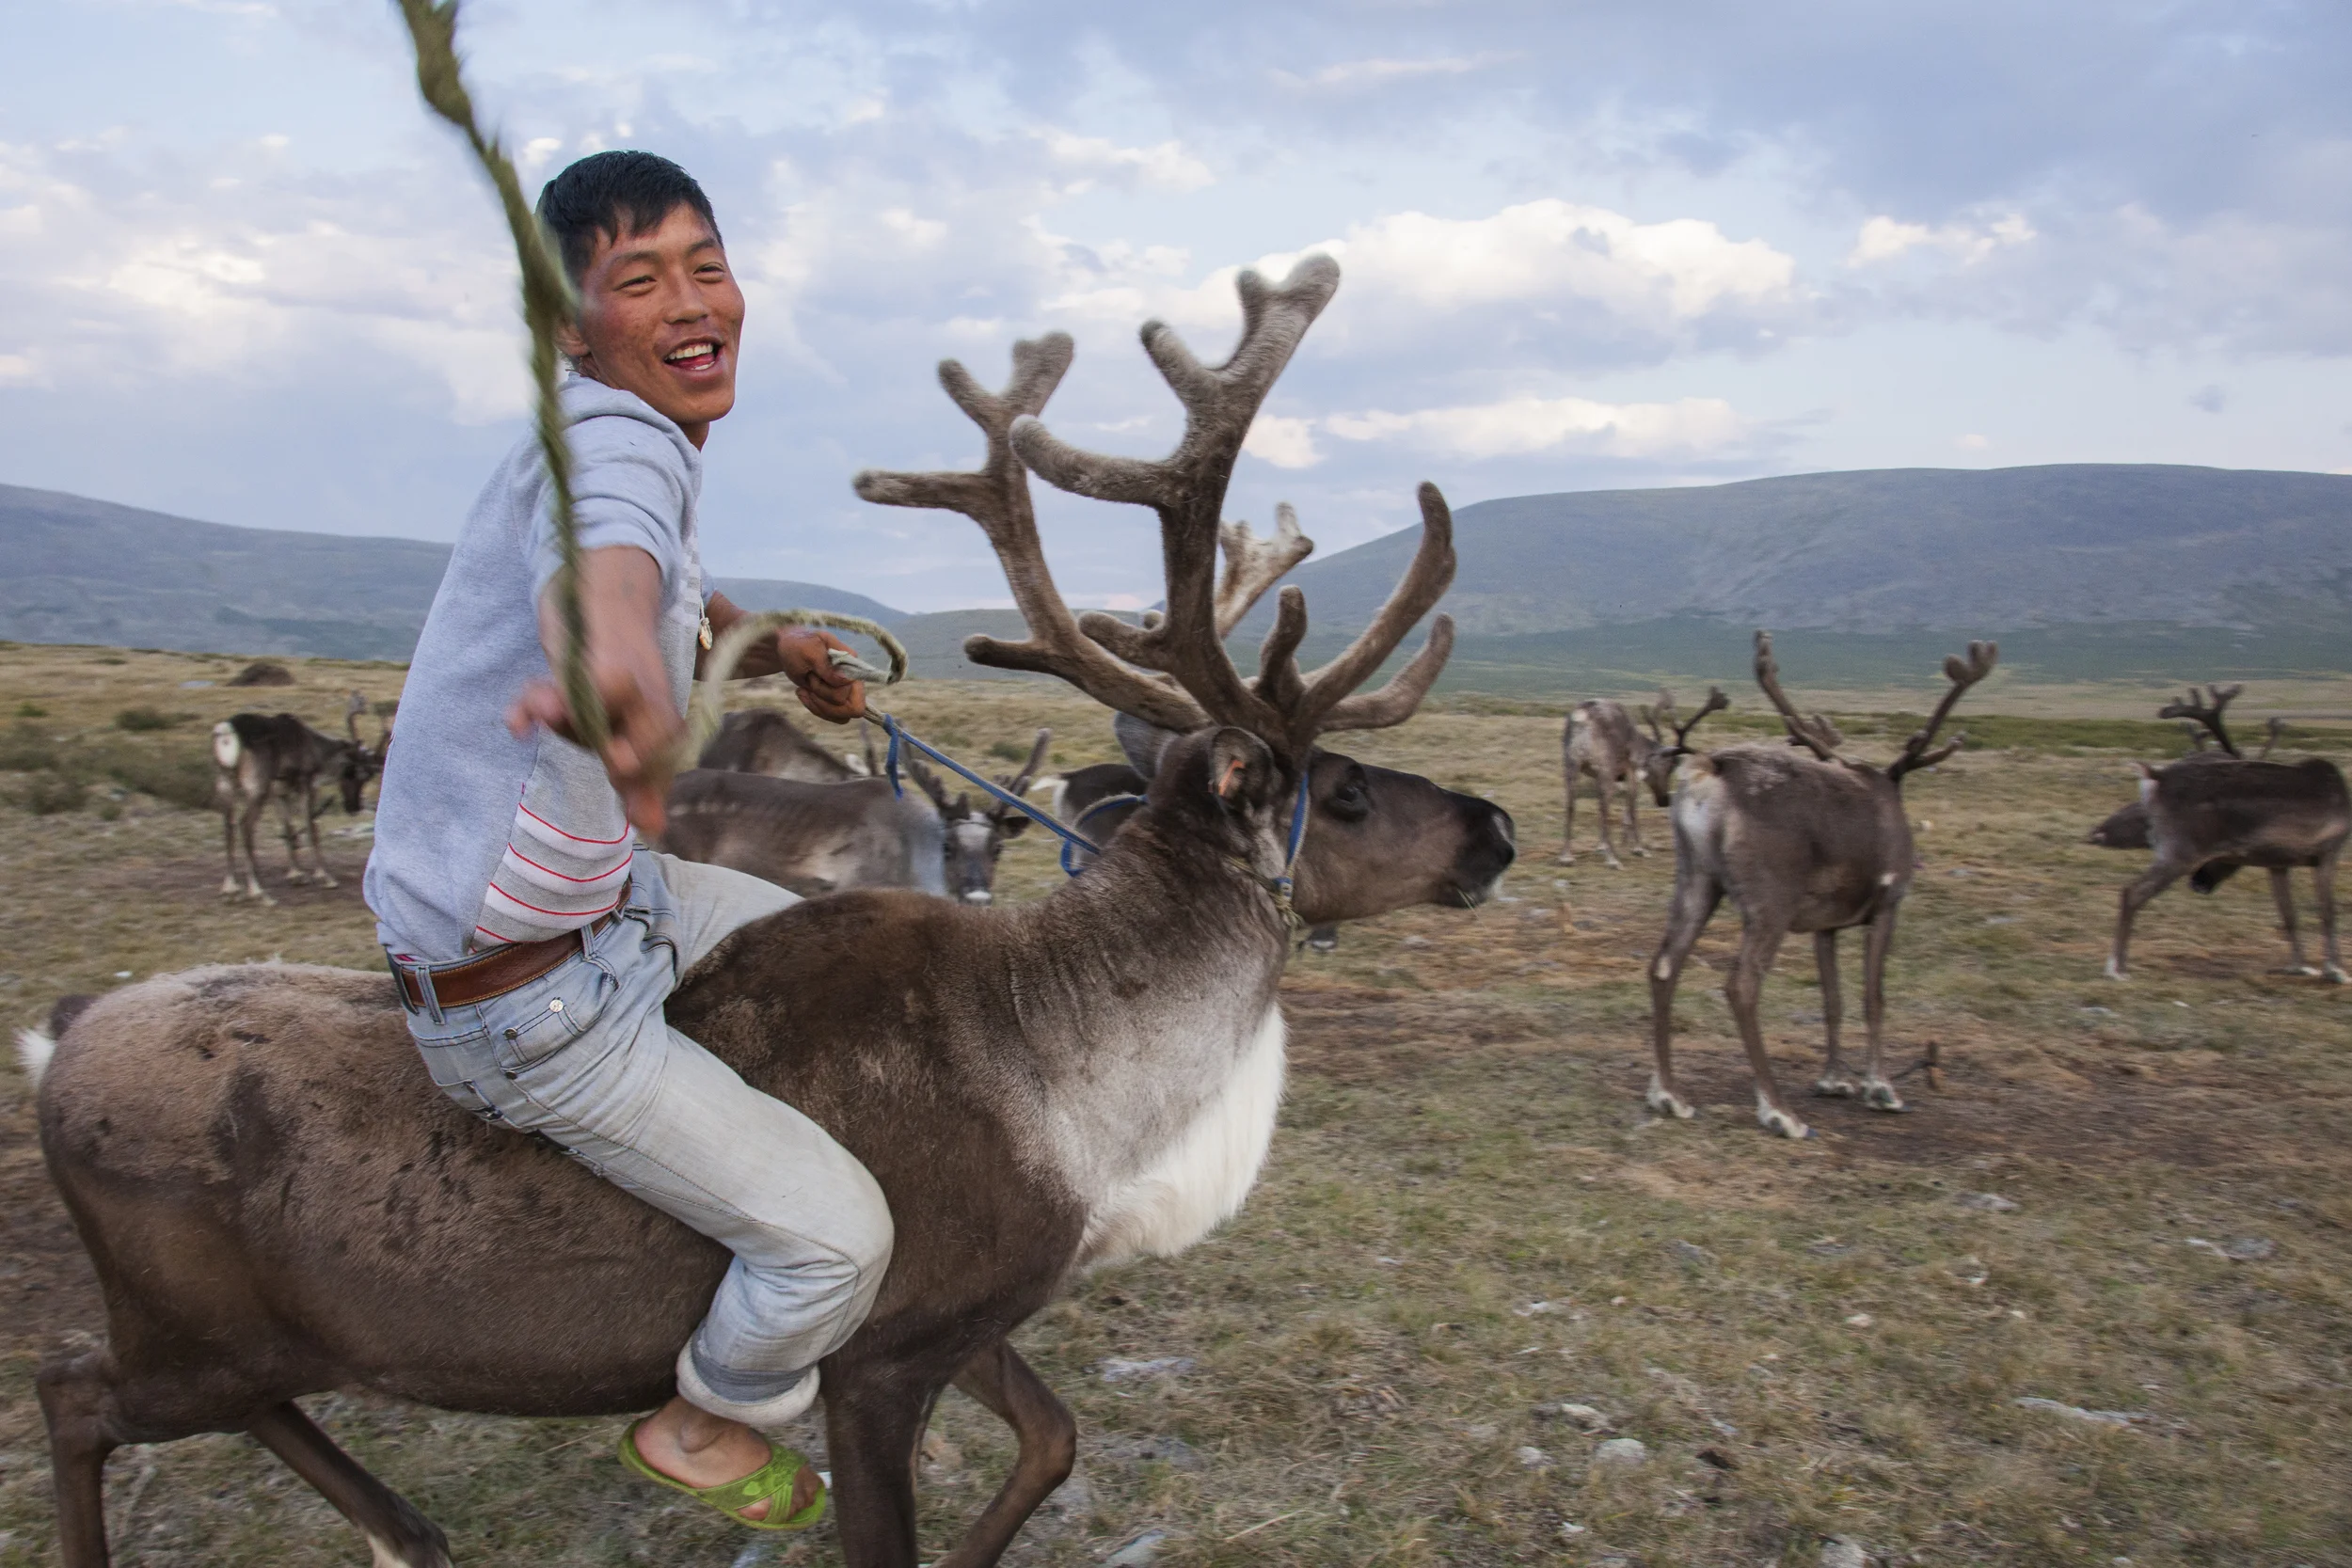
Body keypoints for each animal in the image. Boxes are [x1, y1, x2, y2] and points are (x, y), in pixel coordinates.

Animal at [210, 691, 385, 902]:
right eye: (359, 775)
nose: (354, 807)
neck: (314, 749)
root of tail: (228, 732)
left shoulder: (279, 791)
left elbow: (288, 828)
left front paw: (296, 874)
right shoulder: (305, 784)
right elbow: (311, 827)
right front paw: (325, 877)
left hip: (224, 783)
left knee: (228, 826)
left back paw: (230, 887)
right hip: (256, 788)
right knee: (245, 826)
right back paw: (258, 891)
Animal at [1556, 690, 1726, 868]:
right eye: (1668, 768)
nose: (1664, 800)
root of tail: (1582, 717)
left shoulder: (1607, 776)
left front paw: (1602, 846)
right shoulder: (1630, 771)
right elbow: (1632, 808)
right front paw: (1639, 848)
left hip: (1571, 764)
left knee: (1570, 805)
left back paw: (1566, 856)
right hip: (1605, 768)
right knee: (1603, 807)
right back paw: (1612, 859)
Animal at [1645, 632, 1996, 1138]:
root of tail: (1709, 771)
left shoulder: (1823, 926)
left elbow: (1833, 999)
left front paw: (1834, 1080)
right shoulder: (1887, 905)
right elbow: (1873, 997)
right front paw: (1881, 1088)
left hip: (1697, 878)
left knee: (1663, 967)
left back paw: (1669, 1095)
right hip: (1771, 901)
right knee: (1741, 985)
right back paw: (1780, 1112)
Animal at [2095, 684, 2348, 983]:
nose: (2199, 884)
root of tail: (2156, 778)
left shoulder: (2278, 863)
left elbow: (2288, 913)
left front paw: (2299, 966)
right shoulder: (2328, 851)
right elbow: (2328, 912)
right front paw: (2336, 970)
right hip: (2180, 853)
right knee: (2132, 892)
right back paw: (2116, 968)